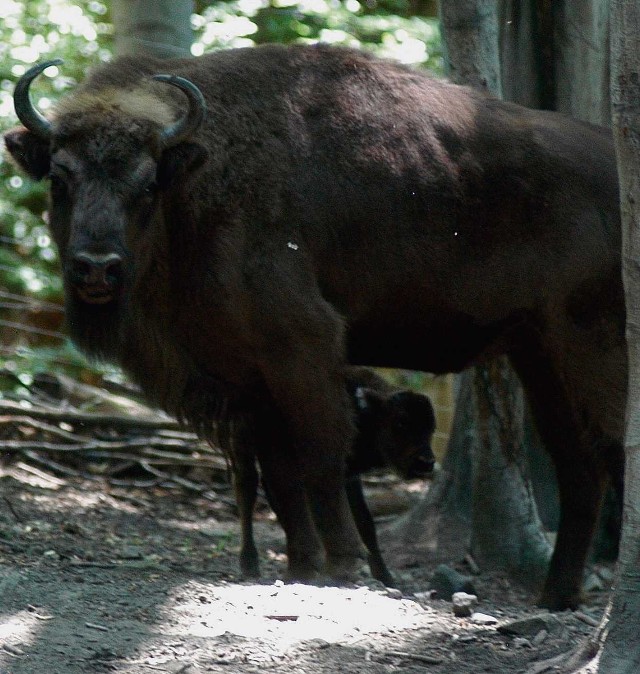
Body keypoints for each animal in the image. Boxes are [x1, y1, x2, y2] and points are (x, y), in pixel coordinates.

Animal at [5, 43, 624, 608]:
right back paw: (557, 596)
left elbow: (322, 457)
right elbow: (281, 475)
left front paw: (343, 564)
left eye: (148, 184)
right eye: (59, 178)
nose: (96, 268)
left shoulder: (302, 351)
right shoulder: (249, 379)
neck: (198, 187)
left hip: (589, 343)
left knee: (610, 449)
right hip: (538, 353)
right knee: (578, 466)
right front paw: (302, 564)